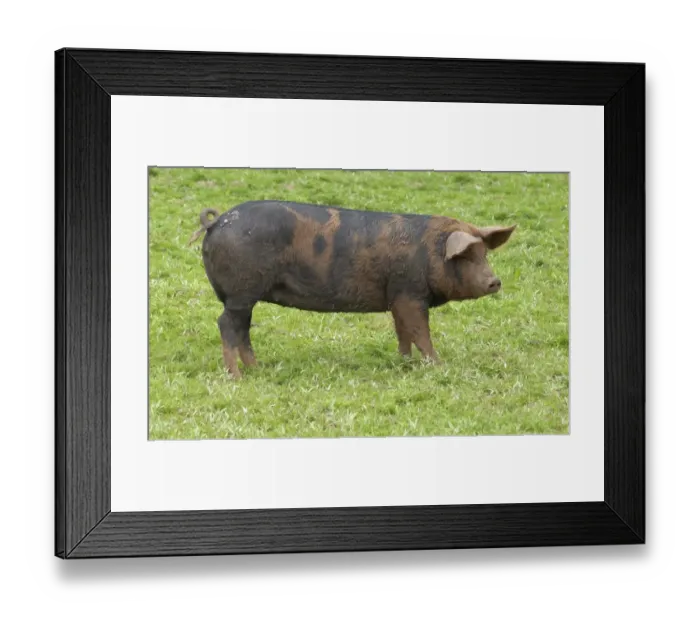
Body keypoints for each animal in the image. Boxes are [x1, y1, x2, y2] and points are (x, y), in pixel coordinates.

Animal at [189, 200, 516, 378]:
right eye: (466, 256)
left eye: (484, 254)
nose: (495, 281)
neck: (428, 252)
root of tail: (217, 221)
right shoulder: (410, 293)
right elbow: (421, 331)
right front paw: (438, 365)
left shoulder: (397, 297)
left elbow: (403, 331)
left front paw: (404, 362)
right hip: (241, 292)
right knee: (226, 324)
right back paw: (237, 377)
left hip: (243, 297)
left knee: (242, 328)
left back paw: (257, 368)